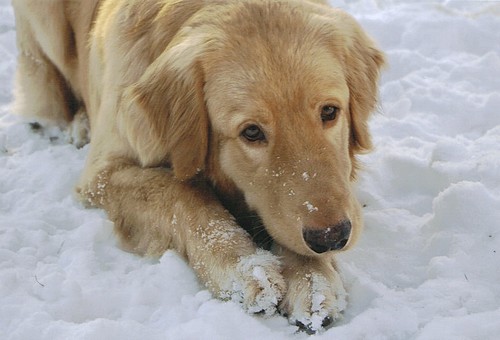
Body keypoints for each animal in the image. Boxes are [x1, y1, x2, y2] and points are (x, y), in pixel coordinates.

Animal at [12, 0, 386, 332]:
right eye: (252, 132)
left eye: (329, 111)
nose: (332, 237)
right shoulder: (103, 174)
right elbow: (181, 194)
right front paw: (243, 268)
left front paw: (313, 279)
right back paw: (76, 125)